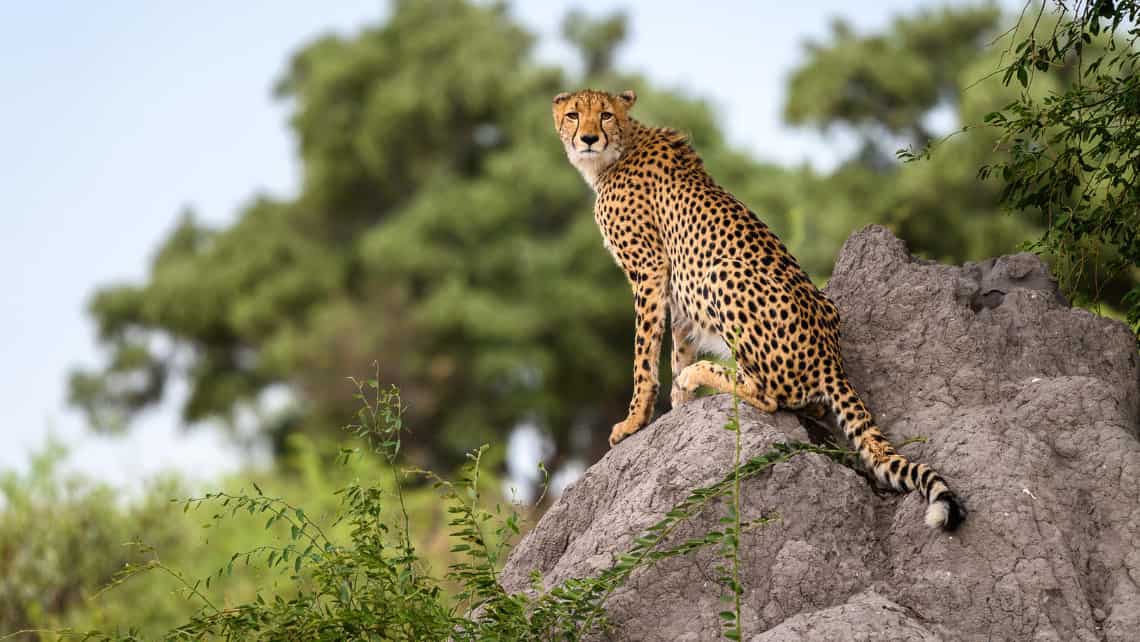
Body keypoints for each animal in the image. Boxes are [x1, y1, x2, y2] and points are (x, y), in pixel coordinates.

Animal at [556, 90, 966, 533]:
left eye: (605, 115)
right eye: (574, 114)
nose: (589, 138)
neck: (620, 149)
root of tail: (831, 356)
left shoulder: (650, 270)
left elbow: (643, 354)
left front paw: (636, 421)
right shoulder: (675, 286)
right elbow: (678, 344)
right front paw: (677, 406)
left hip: (721, 271)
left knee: (770, 395)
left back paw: (702, 374)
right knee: (809, 402)